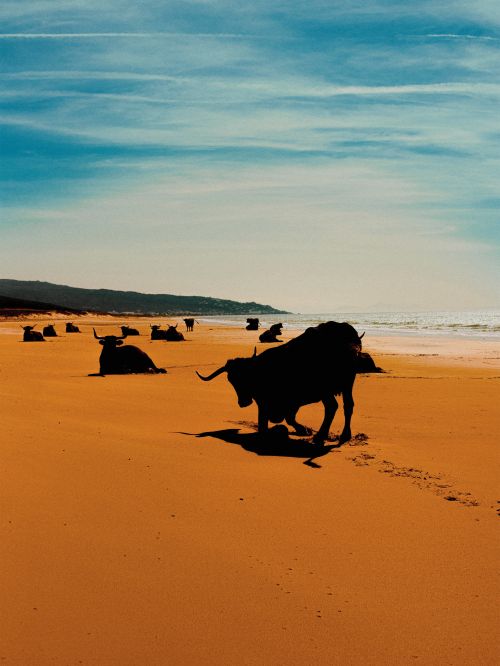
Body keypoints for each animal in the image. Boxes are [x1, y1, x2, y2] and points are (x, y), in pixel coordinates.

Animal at [197, 320, 380, 444]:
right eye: (231, 380)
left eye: (243, 378)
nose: (243, 402)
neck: (258, 370)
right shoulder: (291, 403)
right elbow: (289, 418)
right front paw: (303, 429)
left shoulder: (267, 402)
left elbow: (269, 422)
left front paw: (302, 430)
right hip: (348, 383)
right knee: (348, 405)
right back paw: (344, 435)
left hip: (326, 388)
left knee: (332, 407)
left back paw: (321, 435)